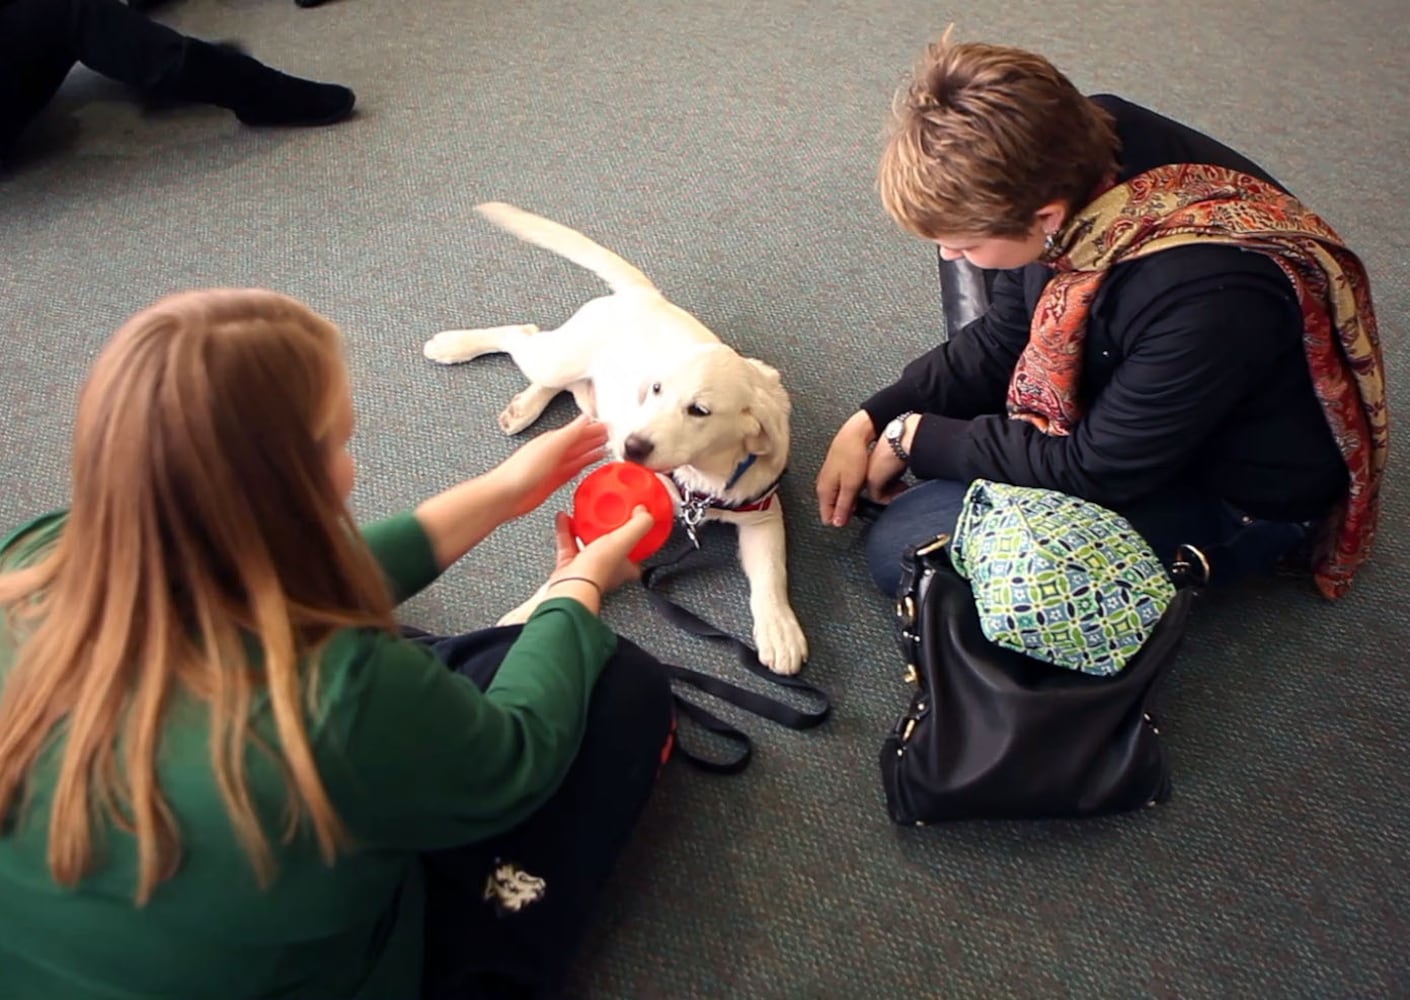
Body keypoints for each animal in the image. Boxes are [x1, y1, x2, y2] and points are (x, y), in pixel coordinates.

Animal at [423, 200, 812, 674]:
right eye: (656, 389)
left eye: (699, 411)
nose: (632, 447)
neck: (701, 479)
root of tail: (643, 295)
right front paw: (528, 610)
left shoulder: (762, 512)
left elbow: (772, 573)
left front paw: (780, 629)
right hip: (558, 356)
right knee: (523, 335)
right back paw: (452, 345)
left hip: (585, 391)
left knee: (567, 384)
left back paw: (525, 405)